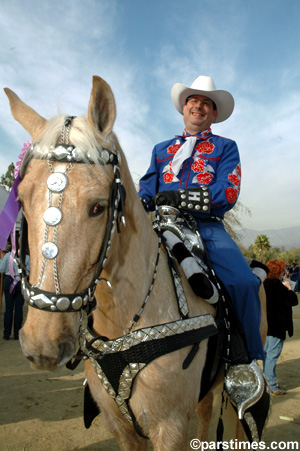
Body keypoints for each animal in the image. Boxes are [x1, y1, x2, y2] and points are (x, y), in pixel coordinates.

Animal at [4, 76, 268, 450]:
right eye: (23, 200)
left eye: (98, 206)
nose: (44, 344)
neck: (124, 322)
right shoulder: (122, 427)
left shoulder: (169, 427)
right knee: (205, 414)